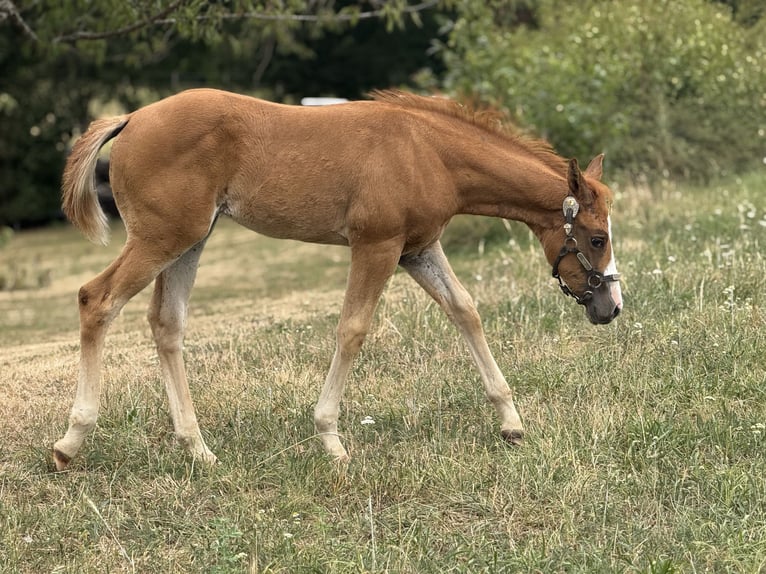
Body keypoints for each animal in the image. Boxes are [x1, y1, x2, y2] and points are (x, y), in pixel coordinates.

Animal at [54, 89, 622, 470]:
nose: (611, 307)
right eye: (597, 238)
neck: (428, 151)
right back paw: (71, 441)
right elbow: (353, 329)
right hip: (161, 239)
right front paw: (330, 437)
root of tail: (131, 117)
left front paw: (511, 421)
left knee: (166, 324)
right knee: (95, 300)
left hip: (189, 241)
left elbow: (465, 310)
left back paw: (198, 448)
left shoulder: (418, 249)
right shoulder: (377, 246)